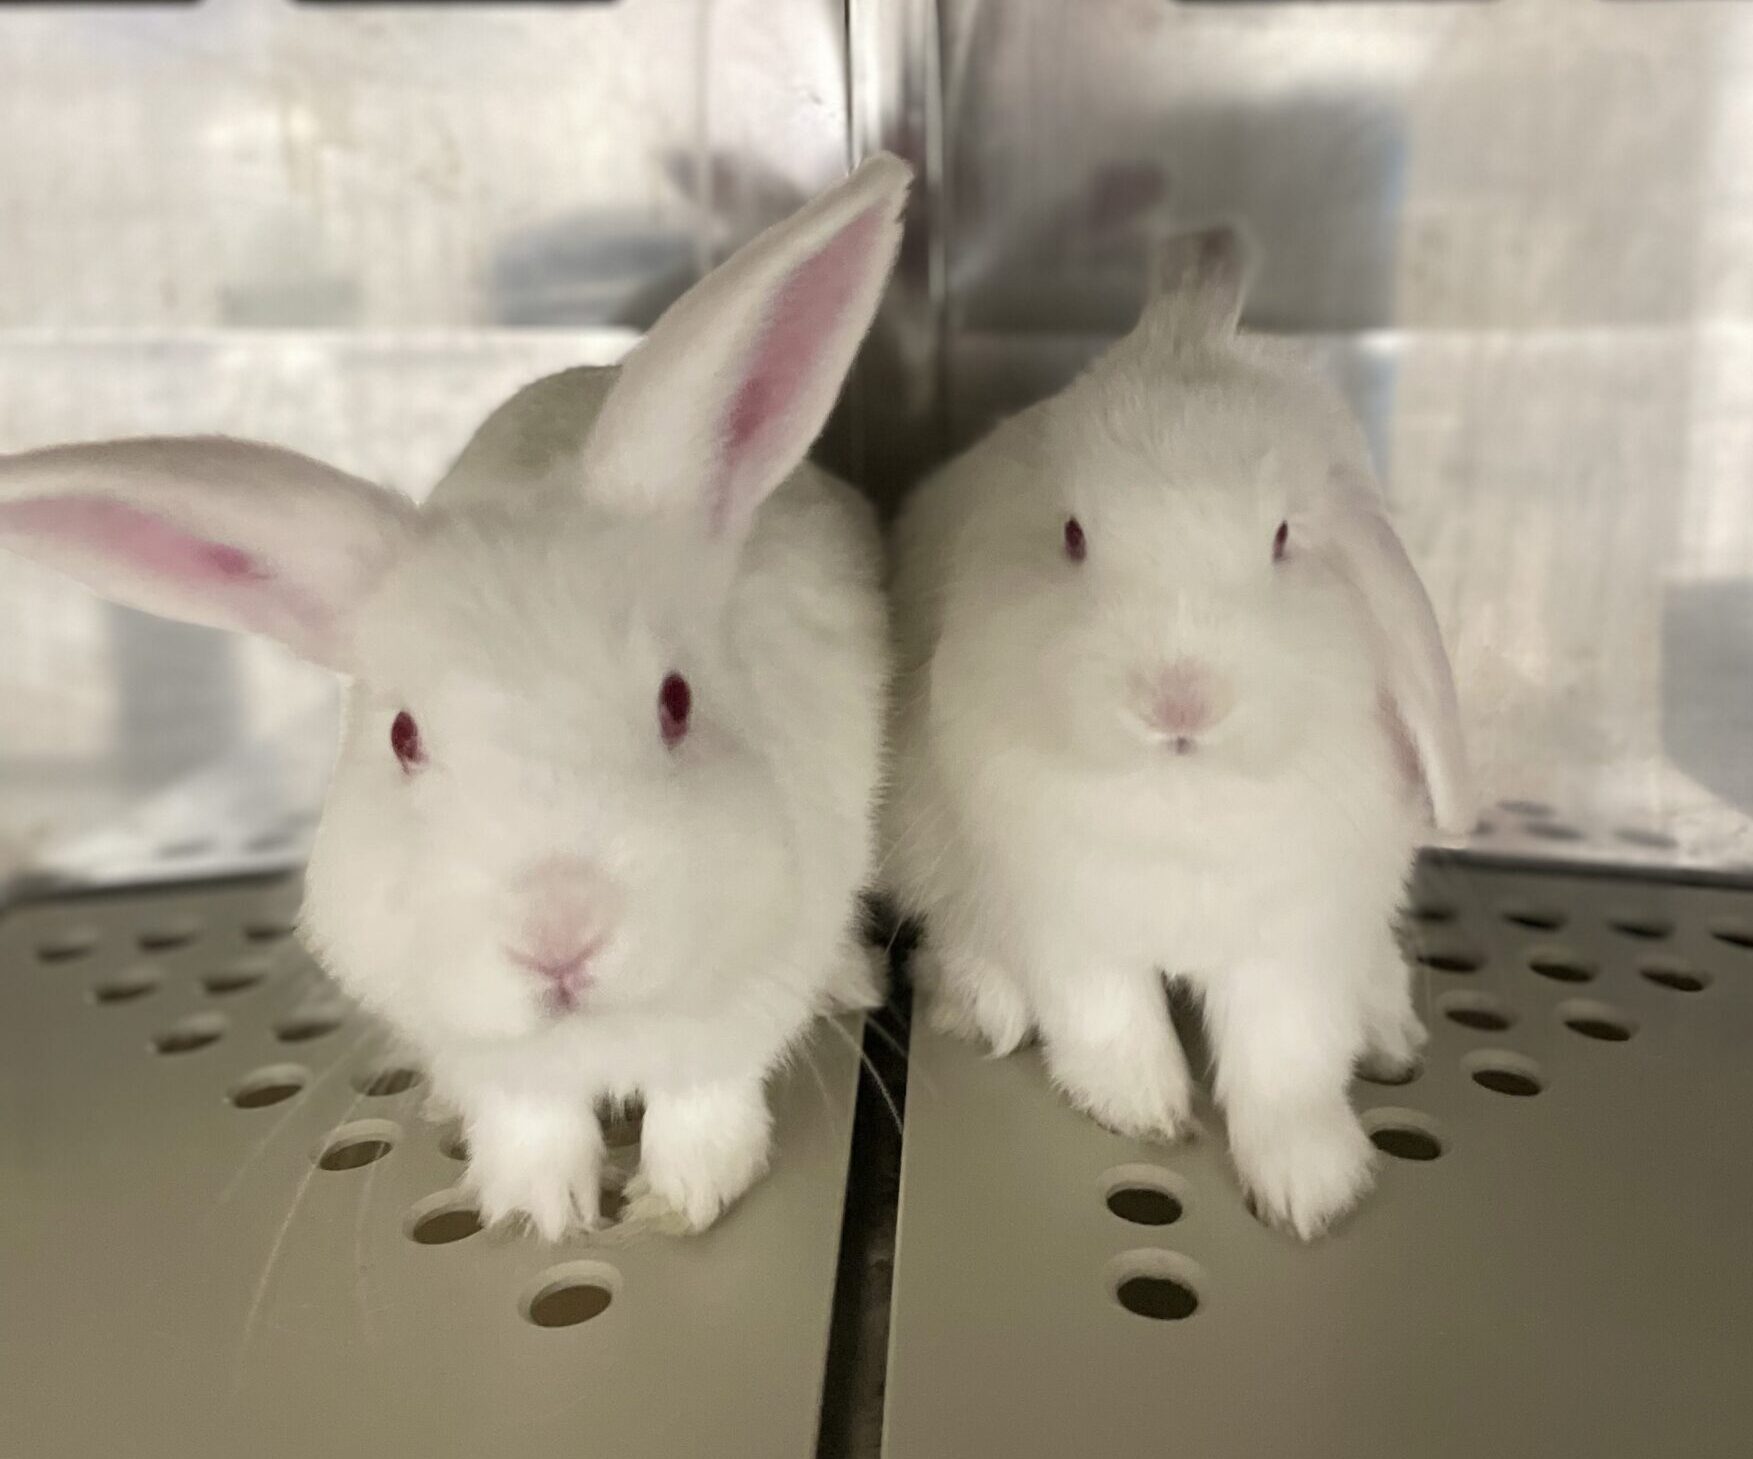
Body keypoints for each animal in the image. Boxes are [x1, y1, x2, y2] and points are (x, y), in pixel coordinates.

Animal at [0, 154, 912, 1238]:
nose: (558, 943)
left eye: (677, 701)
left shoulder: (746, 995)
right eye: (402, 735)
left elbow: (704, 1101)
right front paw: (538, 1211)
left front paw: (676, 1200)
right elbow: (527, 1118)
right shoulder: (480, 1047)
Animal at [885, 224, 1470, 1240]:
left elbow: (1284, 1063)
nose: (1178, 701)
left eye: (1281, 537)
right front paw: (1147, 1114)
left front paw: (1309, 1192)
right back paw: (977, 1003)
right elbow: (1107, 1020)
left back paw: (1389, 1033)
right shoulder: (1069, 921)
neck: (1181, 796)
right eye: (1073, 534)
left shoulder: (1291, 943)